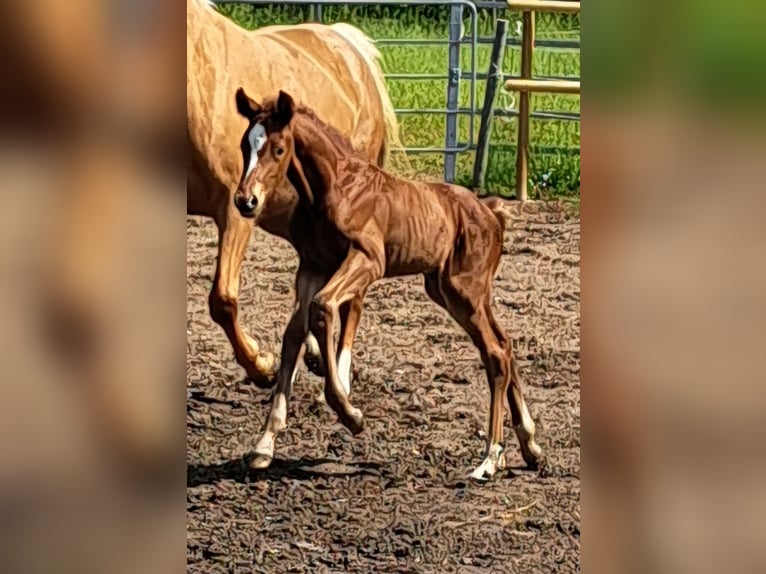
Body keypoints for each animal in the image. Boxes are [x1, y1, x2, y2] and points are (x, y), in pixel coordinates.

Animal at [237, 89, 544, 482]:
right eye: (245, 145)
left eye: (277, 148)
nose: (246, 201)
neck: (340, 187)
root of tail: (490, 209)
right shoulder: (312, 267)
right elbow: (294, 334)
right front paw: (264, 444)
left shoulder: (367, 259)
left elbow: (323, 308)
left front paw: (351, 415)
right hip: (453, 292)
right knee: (504, 345)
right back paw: (528, 445)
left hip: (465, 292)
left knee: (495, 353)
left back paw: (489, 458)